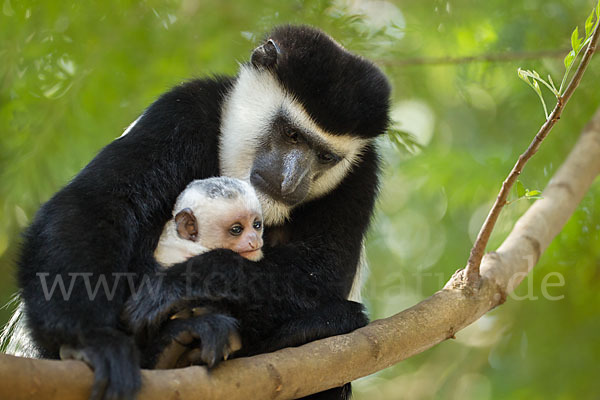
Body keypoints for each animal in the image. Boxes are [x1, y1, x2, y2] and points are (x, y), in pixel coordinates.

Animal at [14, 25, 392, 400]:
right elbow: (100, 202)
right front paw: (92, 340)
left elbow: (323, 268)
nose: (291, 180)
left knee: (340, 318)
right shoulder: (184, 109)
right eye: (291, 134)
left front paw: (176, 285)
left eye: (325, 157)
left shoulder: (361, 172)